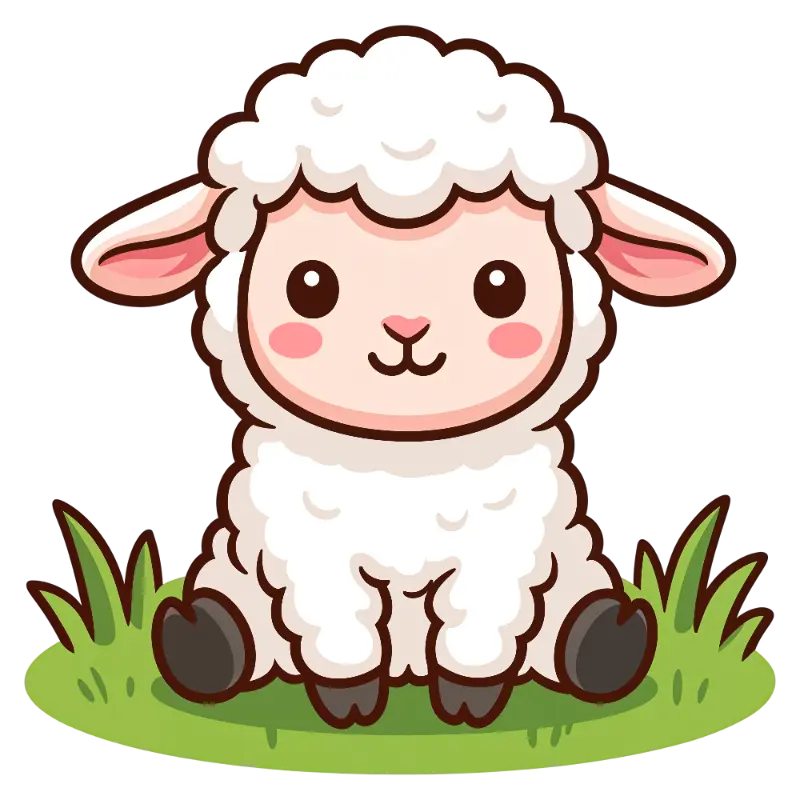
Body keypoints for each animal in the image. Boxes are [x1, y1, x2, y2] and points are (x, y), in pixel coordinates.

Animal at [73, 27, 735, 730]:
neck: (406, 461)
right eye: (310, 286)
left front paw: (470, 705)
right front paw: (350, 705)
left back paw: (607, 638)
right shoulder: (314, 552)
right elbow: (341, 632)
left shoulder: (500, 550)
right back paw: (201, 640)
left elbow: (477, 631)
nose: (406, 327)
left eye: (502, 285)